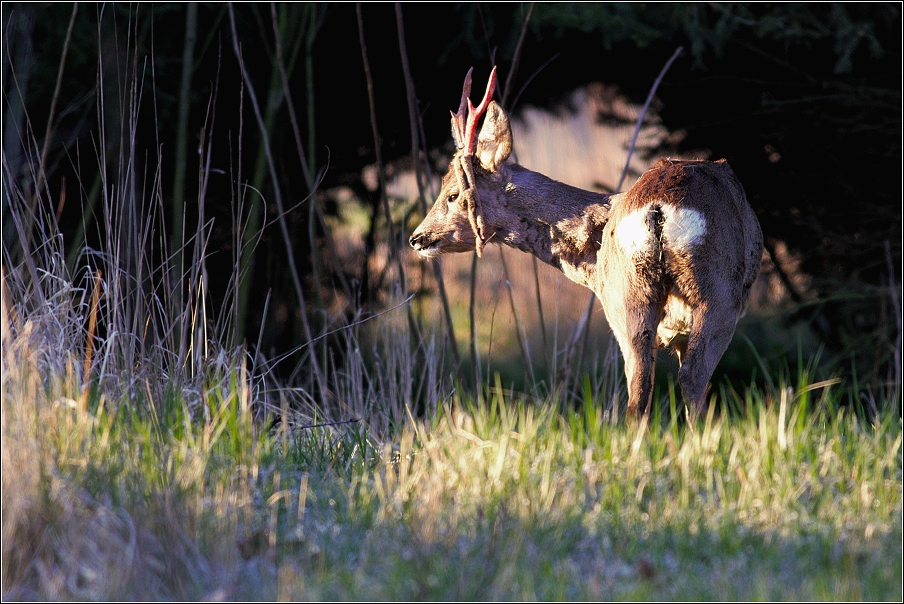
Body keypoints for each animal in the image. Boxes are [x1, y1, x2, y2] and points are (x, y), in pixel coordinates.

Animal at [410, 66, 764, 416]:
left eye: (453, 194)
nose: (417, 238)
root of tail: (658, 208)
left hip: (628, 297)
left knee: (640, 388)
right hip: (717, 291)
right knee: (690, 378)